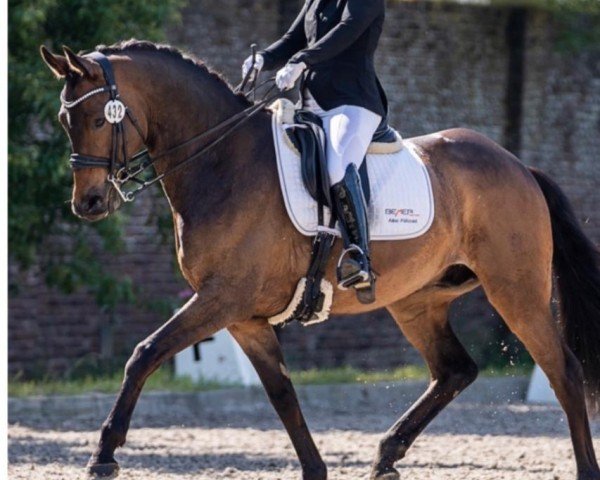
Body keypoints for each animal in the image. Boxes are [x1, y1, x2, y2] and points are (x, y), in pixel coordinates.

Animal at [41, 39, 600, 478]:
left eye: (98, 118)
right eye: (64, 120)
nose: (88, 203)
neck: (223, 162)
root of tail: (518, 165)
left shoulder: (221, 299)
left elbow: (144, 353)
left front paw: (103, 455)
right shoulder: (243, 317)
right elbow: (282, 395)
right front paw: (315, 469)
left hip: (515, 290)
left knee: (563, 370)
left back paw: (584, 467)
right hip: (417, 300)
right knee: (455, 370)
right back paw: (386, 455)